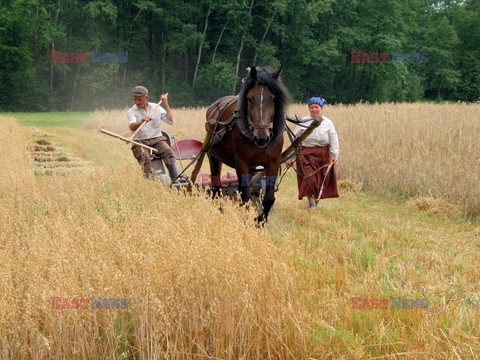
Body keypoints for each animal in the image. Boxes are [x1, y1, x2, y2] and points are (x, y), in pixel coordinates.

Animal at [203, 64, 286, 222]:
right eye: (250, 98)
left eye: (273, 98)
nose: (262, 138)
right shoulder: (241, 163)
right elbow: (245, 197)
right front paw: (247, 221)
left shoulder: (273, 162)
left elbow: (268, 198)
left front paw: (260, 221)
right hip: (213, 156)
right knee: (216, 189)